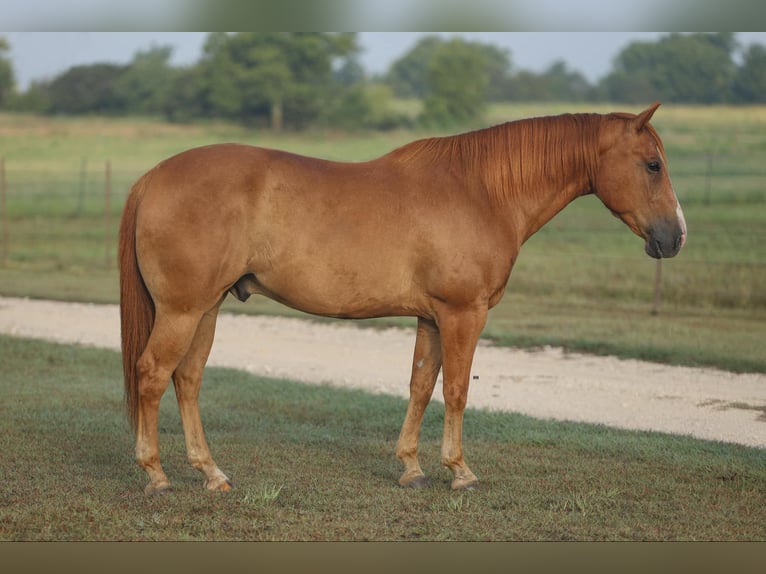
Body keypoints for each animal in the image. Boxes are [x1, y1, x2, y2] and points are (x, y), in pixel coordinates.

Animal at [118, 102, 688, 496]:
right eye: (652, 165)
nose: (675, 236)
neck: (482, 190)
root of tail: (152, 178)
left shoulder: (432, 318)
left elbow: (420, 385)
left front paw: (412, 468)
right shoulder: (463, 314)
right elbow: (456, 390)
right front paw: (460, 472)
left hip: (207, 308)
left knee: (187, 379)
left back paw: (211, 473)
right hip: (183, 311)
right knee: (152, 374)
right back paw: (156, 475)